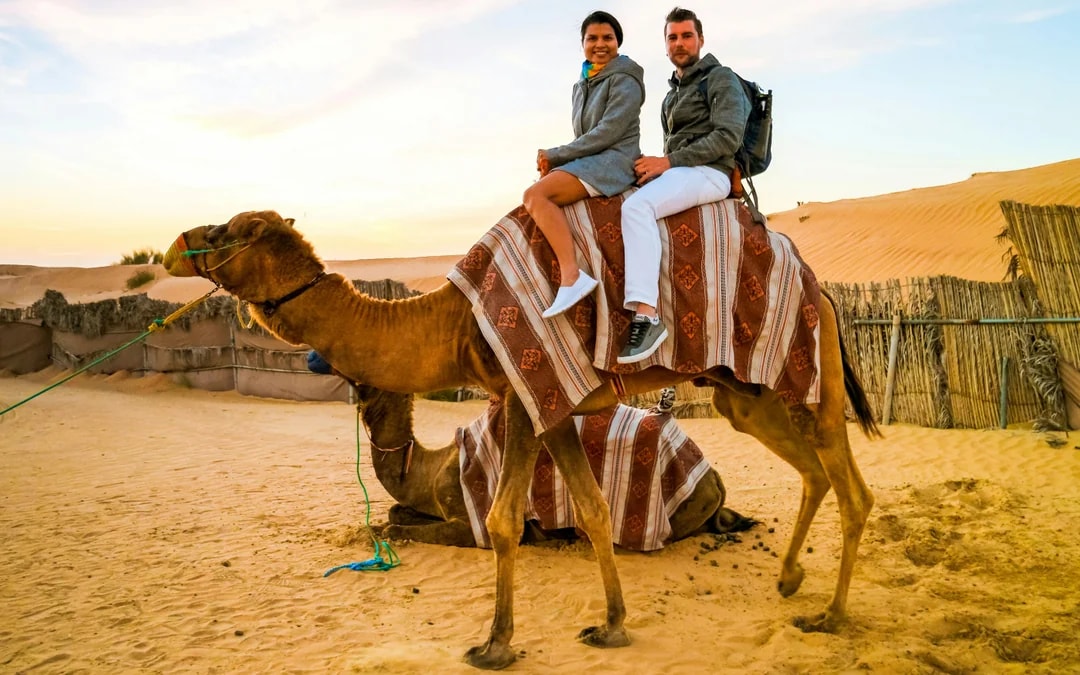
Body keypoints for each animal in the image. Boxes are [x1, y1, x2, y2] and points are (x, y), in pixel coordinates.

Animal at [349, 383, 750, 548]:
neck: (429, 470)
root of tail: (713, 476)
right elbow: (396, 512)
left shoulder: (468, 520)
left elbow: (394, 528)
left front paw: (372, 533)